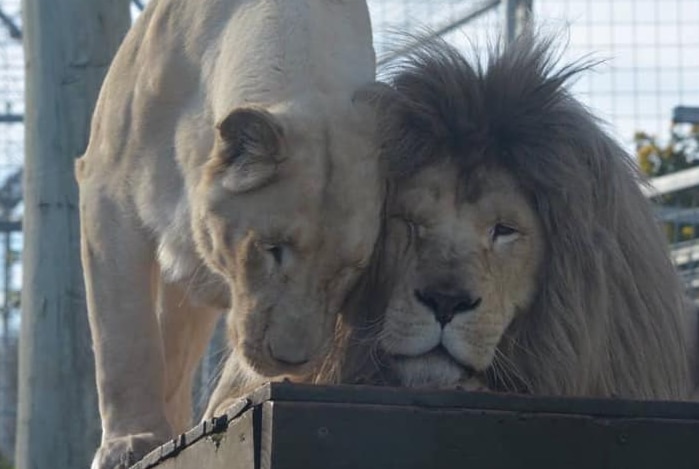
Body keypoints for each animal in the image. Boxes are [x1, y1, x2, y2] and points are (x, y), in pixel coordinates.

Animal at [78, 1, 382, 466]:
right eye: (273, 248)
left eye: (349, 270)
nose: (290, 360)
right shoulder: (107, 190)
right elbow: (124, 339)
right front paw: (130, 443)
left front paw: (227, 406)